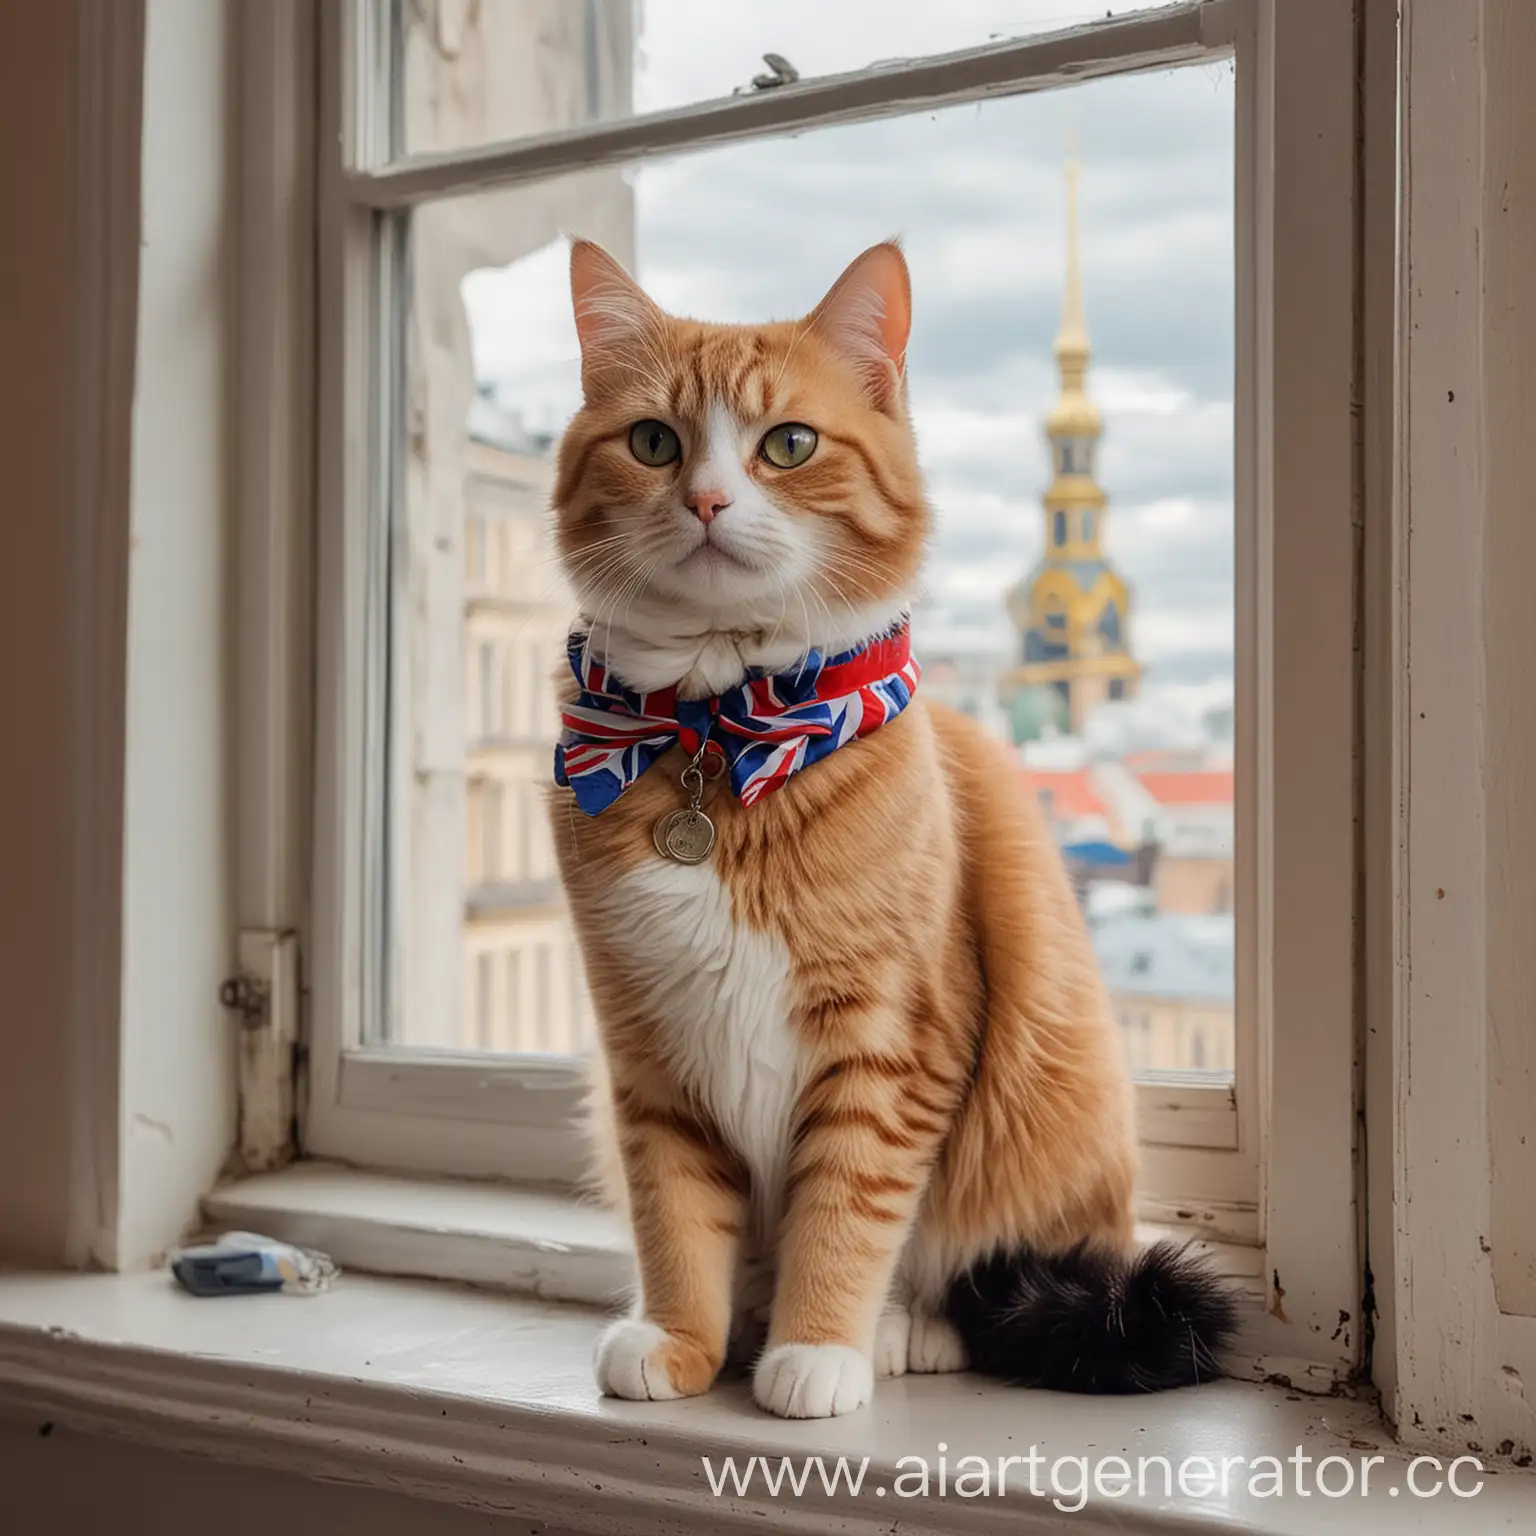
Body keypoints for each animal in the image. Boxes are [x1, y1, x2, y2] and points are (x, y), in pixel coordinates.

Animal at [546, 233, 1228, 1419]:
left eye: (788, 444)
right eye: (652, 442)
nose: (708, 502)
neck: (721, 734)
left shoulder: (891, 1044)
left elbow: (848, 1213)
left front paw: (820, 1347)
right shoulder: (647, 1049)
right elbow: (674, 1214)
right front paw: (682, 1339)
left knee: (965, 1271)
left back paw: (903, 1332)